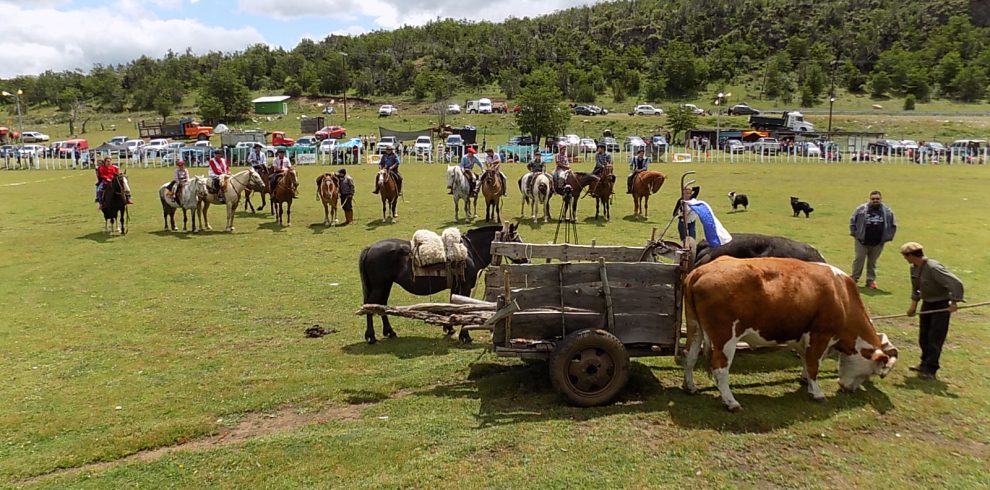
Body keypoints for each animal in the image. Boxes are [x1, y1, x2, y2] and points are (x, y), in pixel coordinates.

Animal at [358, 224, 528, 342]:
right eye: (516, 240)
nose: (526, 260)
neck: (470, 252)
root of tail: (370, 248)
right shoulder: (465, 286)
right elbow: (462, 308)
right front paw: (464, 335)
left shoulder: (456, 286)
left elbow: (452, 306)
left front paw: (449, 328)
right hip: (380, 286)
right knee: (369, 306)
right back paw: (371, 337)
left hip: (385, 285)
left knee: (380, 306)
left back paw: (389, 332)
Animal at [680, 255, 900, 412]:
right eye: (872, 372)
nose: (849, 390)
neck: (842, 296)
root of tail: (701, 270)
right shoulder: (820, 335)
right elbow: (814, 365)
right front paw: (817, 392)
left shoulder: (803, 336)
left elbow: (806, 360)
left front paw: (805, 380)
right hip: (725, 337)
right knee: (720, 368)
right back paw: (730, 401)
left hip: (695, 327)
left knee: (689, 356)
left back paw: (690, 387)